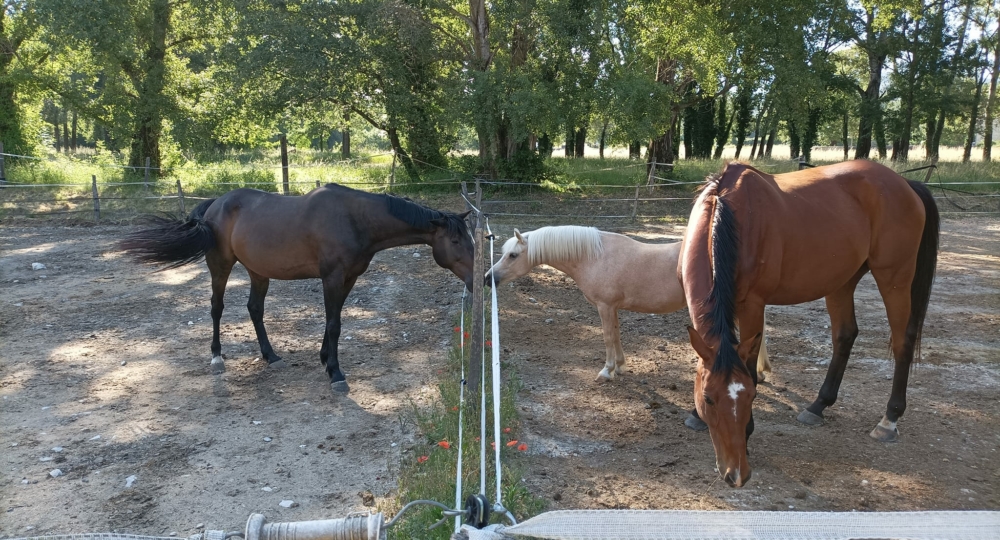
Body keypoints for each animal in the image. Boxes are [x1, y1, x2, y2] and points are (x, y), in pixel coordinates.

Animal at [117, 185, 476, 392]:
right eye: (456, 241)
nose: (478, 279)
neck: (355, 219)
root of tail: (215, 204)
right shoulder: (332, 278)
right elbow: (334, 323)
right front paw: (336, 373)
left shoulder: (349, 278)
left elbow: (334, 321)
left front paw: (325, 359)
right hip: (220, 266)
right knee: (217, 308)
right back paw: (217, 357)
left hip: (258, 271)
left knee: (255, 309)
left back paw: (271, 355)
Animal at [484, 226, 772, 382]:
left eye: (513, 255)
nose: (488, 278)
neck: (594, 256)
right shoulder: (612, 308)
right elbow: (617, 335)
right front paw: (620, 366)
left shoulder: (604, 306)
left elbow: (608, 337)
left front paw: (607, 370)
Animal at [680, 161, 936, 490]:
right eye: (709, 398)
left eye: (751, 397)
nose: (736, 474)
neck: (729, 213)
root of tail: (905, 183)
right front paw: (696, 416)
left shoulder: (753, 305)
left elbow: (749, 366)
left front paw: (748, 434)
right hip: (842, 280)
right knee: (845, 335)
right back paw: (818, 405)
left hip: (895, 278)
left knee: (902, 341)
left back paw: (889, 420)